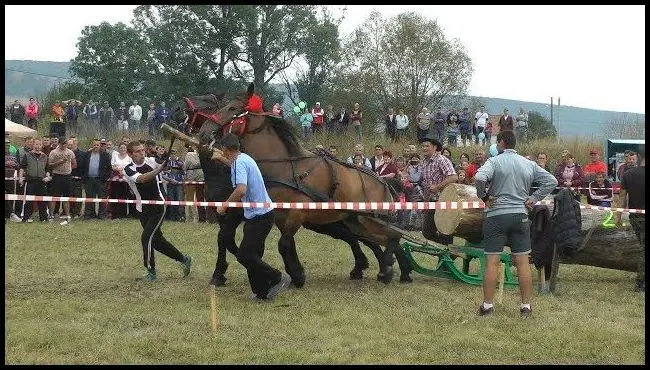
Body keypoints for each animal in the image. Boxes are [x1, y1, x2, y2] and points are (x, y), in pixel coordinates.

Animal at [170, 84, 410, 286]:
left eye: (232, 108)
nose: (204, 131)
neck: (284, 166)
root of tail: (383, 182)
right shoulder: (275, 214)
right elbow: (276, 244)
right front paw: (292, 272)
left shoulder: (294, 213)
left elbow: (282, 244)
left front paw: (294, 275)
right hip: (352, 220)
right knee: (378, 238)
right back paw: (392, 269)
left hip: (361, 218)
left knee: (391, 236)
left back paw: (389, 270)